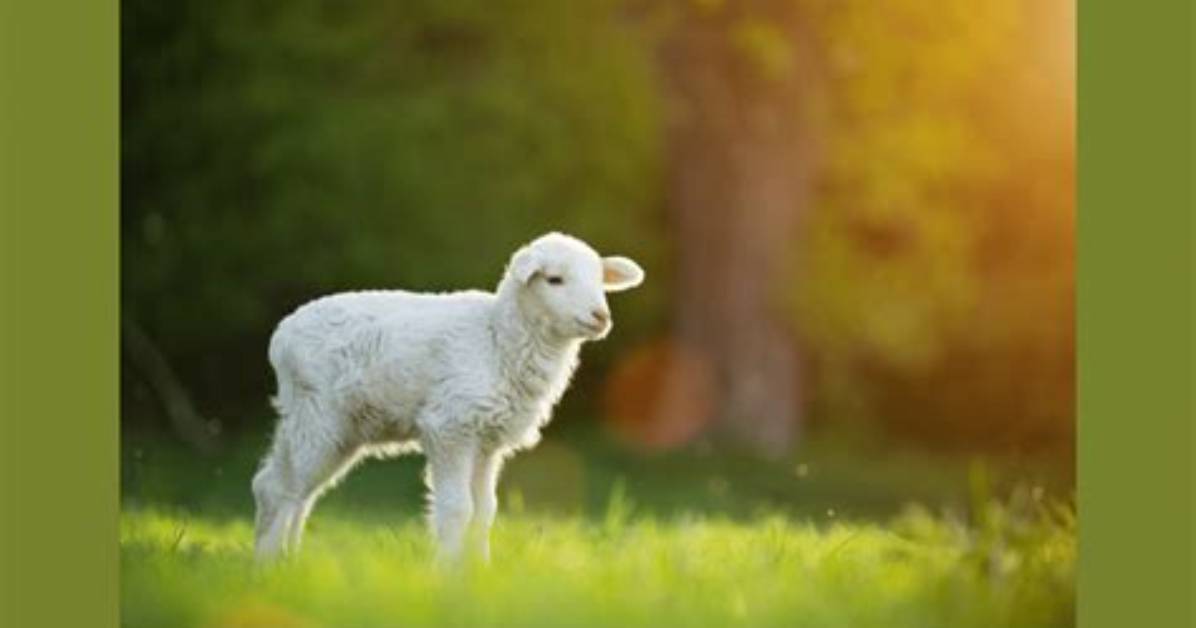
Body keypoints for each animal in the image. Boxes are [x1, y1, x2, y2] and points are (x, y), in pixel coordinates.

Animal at [252, 232, 644, 562]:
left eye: (600, 280)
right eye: (554, 280)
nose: (600, 317)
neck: (498, 338)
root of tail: (281, 336)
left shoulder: (487, 440)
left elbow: (485, 511)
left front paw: (480, 572)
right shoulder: (450, 426)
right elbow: (458, 509)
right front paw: (448, 577)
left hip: (334, 426)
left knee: (292, 490)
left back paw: (289, 561)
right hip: (317, 414)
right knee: (281, 488)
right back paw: (268, 567)